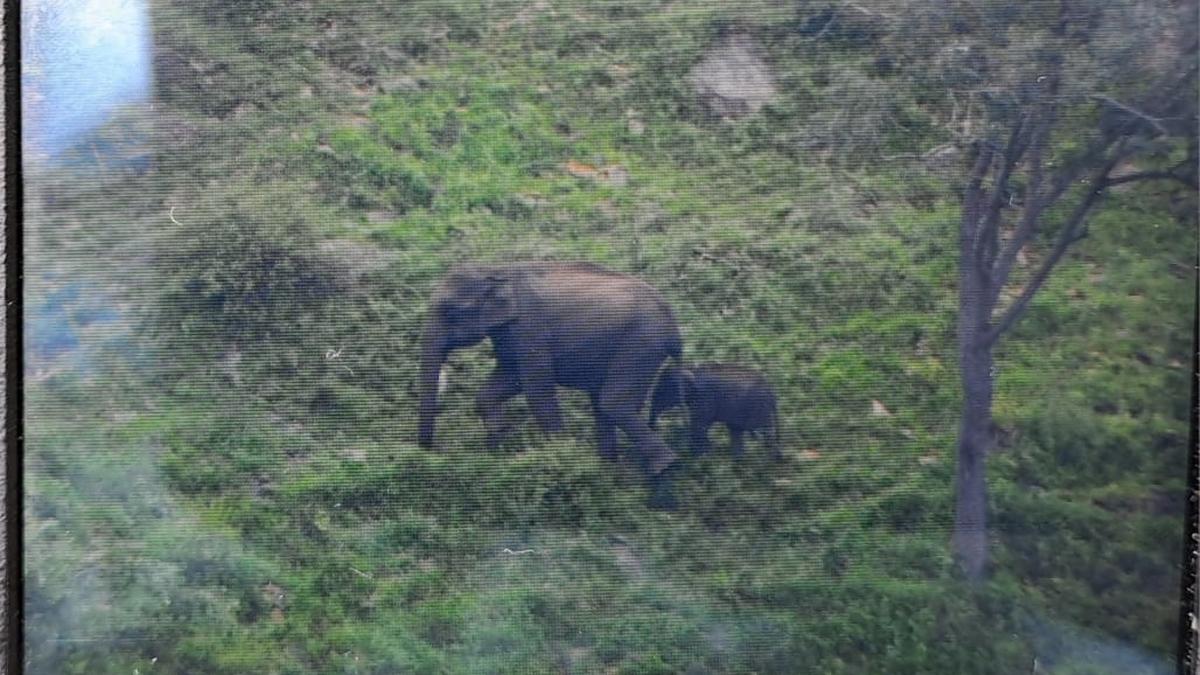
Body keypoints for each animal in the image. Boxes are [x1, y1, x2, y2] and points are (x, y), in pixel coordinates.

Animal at [416, 262, 683, 486]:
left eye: (451, 312)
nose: (428, 452)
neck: (495, 270)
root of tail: (673, 322)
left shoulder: (529, 327)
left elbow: (536, 387)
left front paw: (562, 456)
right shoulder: (507, 333)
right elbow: (508, 378)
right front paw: (498, 441)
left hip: (641, 343)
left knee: (612, 403)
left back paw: (665, 467)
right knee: (603, 405)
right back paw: (607, 470)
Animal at [649, 363, 782, 460]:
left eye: (663, 392)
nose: (655, 429)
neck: (691, 368)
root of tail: (772, 393)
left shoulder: (704, 398)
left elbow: (699, 426)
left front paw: (700, 457)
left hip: (758, 407)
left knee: (765, 433)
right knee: (736, 431)